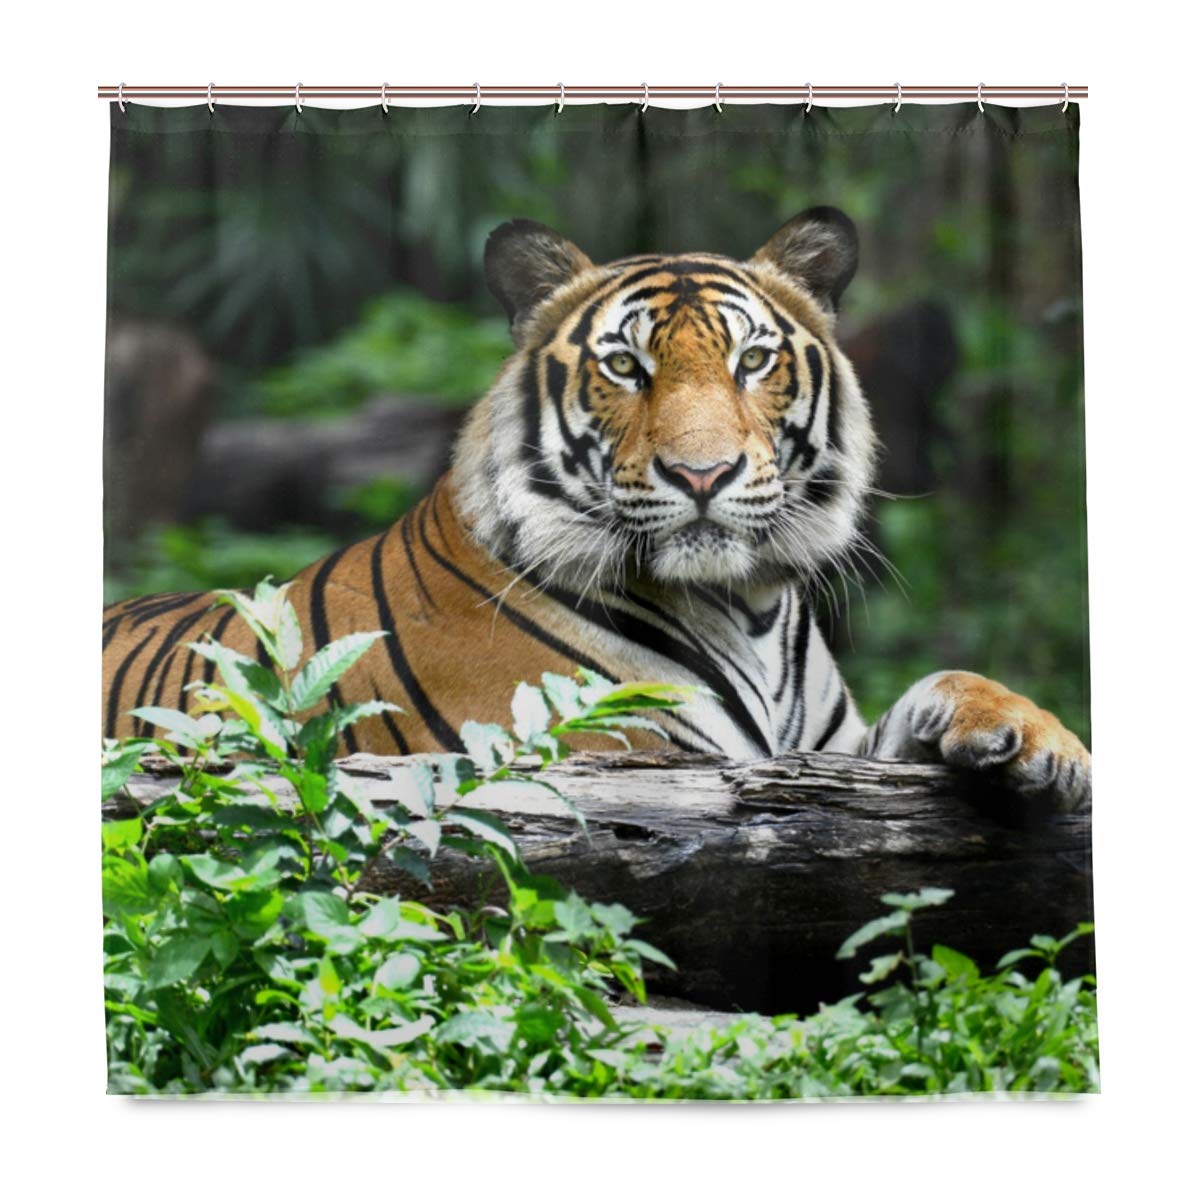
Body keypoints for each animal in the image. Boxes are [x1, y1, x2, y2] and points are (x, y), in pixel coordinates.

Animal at [102, 207, 1091, 809]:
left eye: (751, 362)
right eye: (625, 366)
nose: (704, 474)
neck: (751, 607)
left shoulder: (829, 750)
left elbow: (946, 682)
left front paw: (1041, 742)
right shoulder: (621, 754)